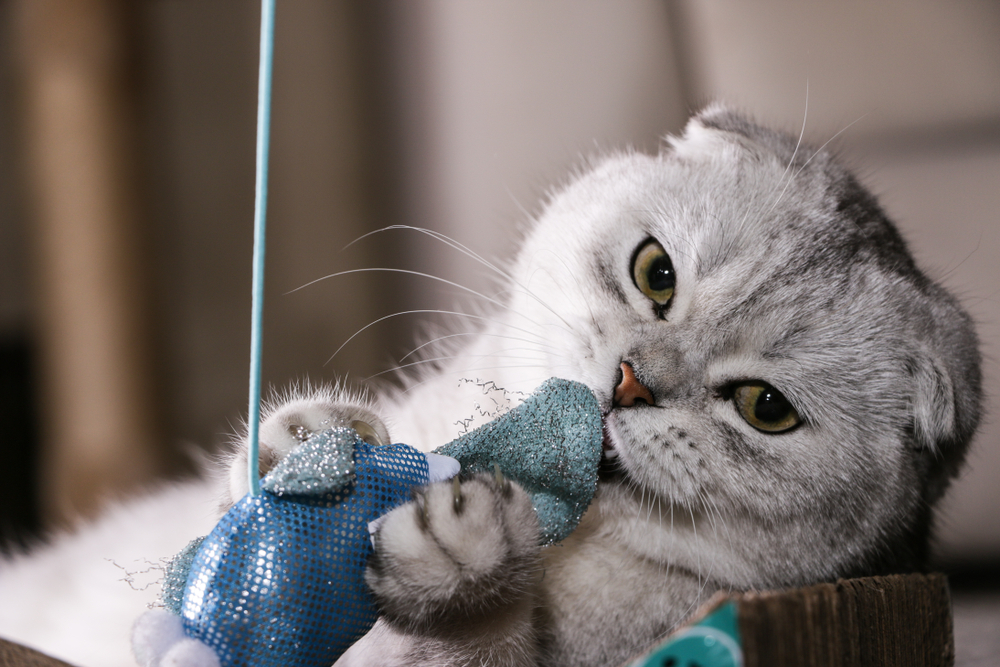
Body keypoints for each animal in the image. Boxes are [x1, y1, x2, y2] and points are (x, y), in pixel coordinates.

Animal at [0, 105, 984, 667]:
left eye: (765, 409)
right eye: (656, 274)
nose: (631, 383)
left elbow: (452, 645)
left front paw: (458, 563)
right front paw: (309, 438)